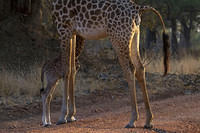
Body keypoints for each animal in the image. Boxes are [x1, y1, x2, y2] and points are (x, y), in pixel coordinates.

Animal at [41, 0, 170, 128]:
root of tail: (137, 8)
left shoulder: (63, 28)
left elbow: (66, 70)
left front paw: (62, 117)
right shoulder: (73, 32)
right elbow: (72, 69)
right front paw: (71, 116)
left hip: (119, 37)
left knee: (130, 69)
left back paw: (132, 120)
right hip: (134, 35)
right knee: (140, 68)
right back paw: (148, 120)